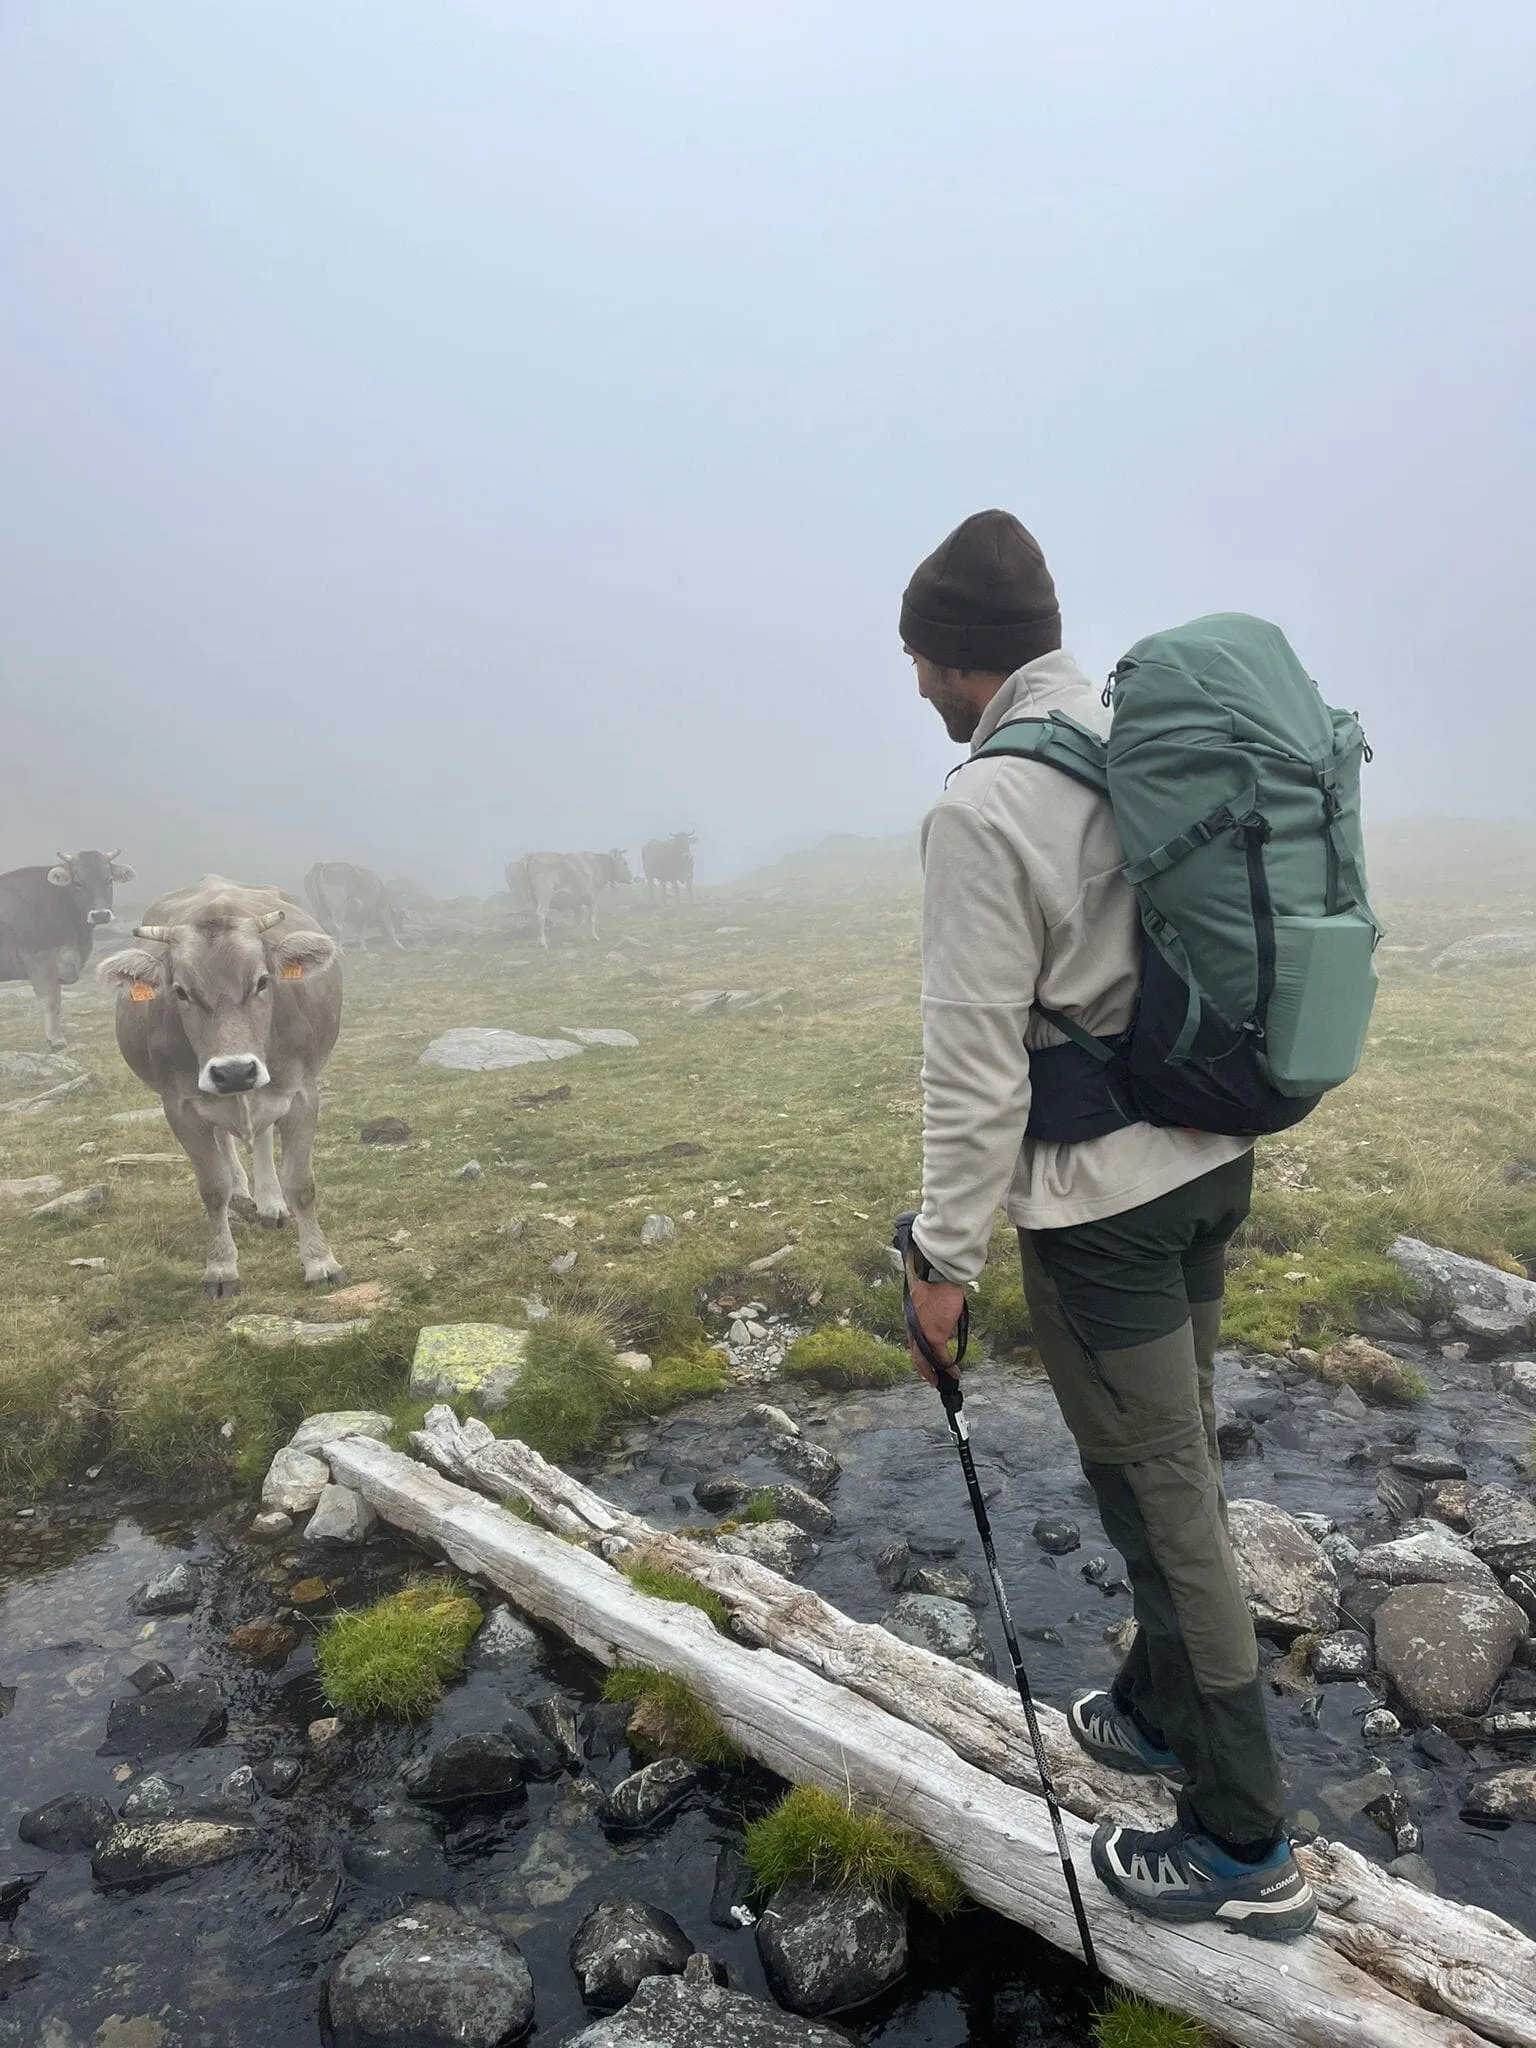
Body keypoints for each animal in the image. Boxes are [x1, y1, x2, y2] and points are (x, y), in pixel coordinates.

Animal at [0, 847, 136, 1048]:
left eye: (109, 879)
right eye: (78, 883)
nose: (100, 914)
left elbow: (57, 1001)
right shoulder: (39, 959)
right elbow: (49, 1000)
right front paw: (57, 1040)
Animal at [97, 876, 348, 1294]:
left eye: (262, 981)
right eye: (181, 991)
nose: (233, 1071)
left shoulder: (301, 1094)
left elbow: (301, 1184)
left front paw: (320, 1262)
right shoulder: (180, 1107)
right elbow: (212, 1188)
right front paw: (221, 1268)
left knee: (261, 1136)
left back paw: (270, 1203)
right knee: (226, 1141)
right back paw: (241, 1194)